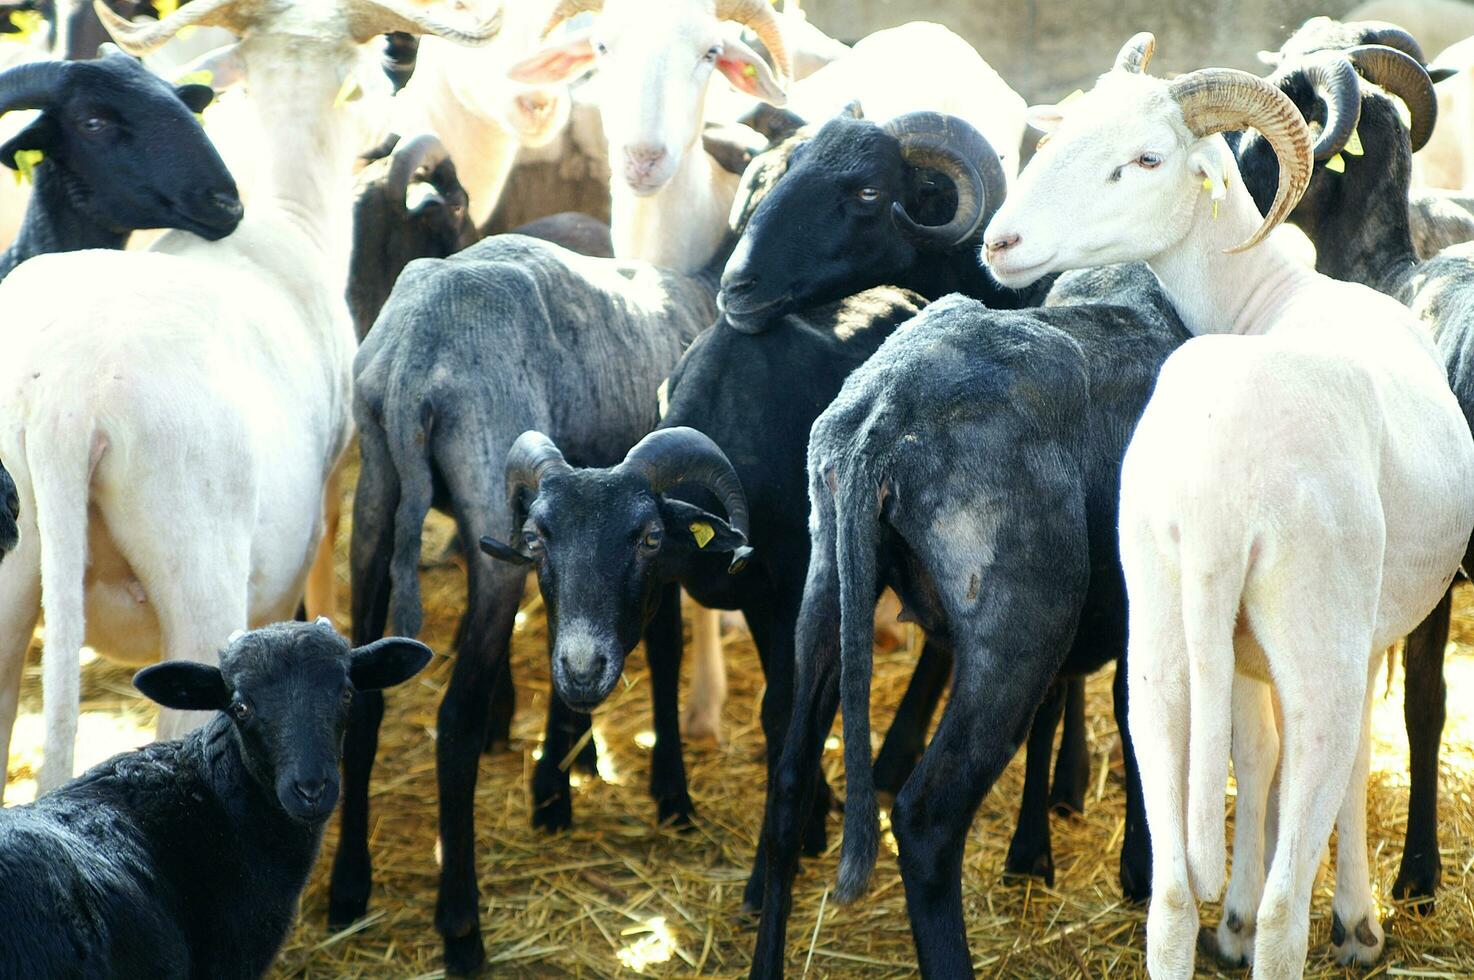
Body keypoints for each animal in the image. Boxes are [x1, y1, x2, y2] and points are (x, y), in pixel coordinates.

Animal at [978, 34, 1474, 972]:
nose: (1000, 242)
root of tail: (1218, 493)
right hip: (1315, 631)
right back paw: (1283, 925)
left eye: (1146, 158)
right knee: (1291, 888)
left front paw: (1236, 915)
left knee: (1173, 894)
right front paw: (1355, 921)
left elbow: (1251, 751)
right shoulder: (1357, 631)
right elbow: (1335, 758)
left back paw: (1202, 922)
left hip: (1159, 643)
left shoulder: (1234, 652)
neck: (1270, 294)